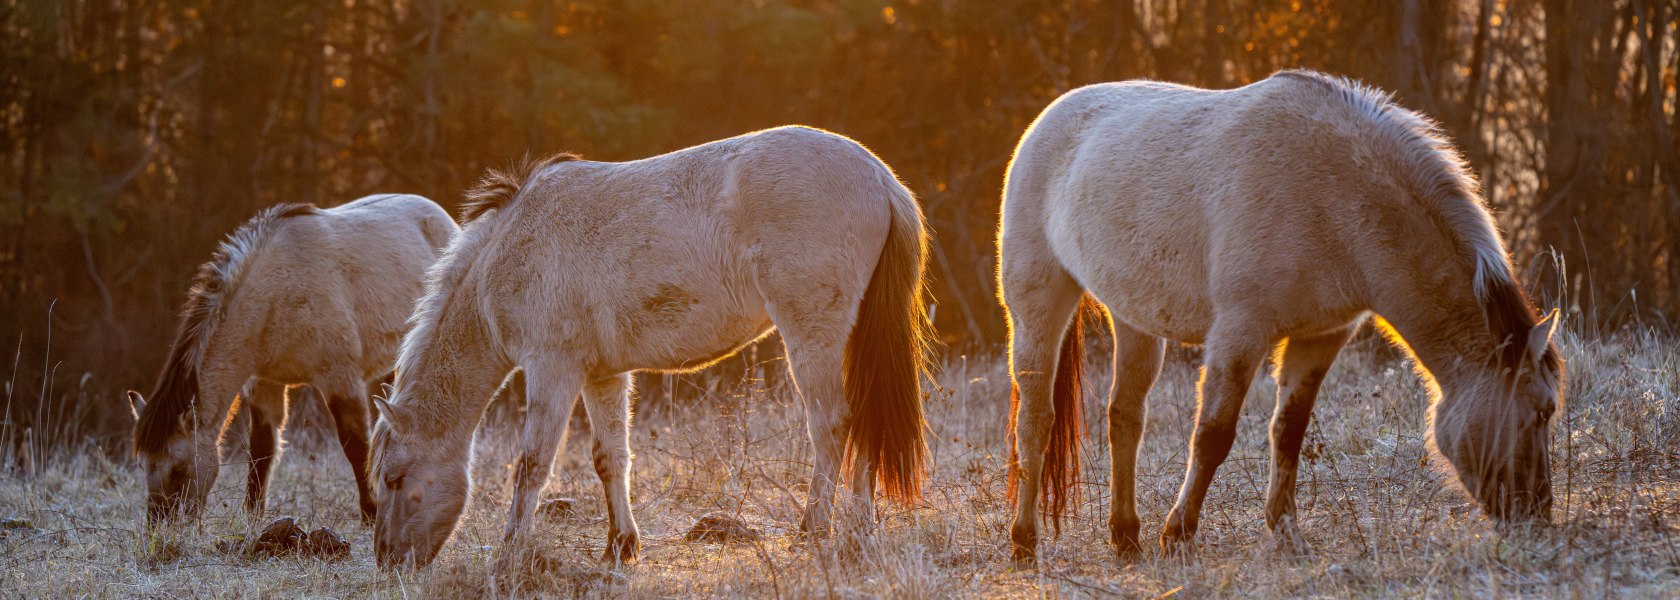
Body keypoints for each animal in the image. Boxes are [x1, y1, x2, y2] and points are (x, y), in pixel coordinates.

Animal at [129, 194, 460, 521]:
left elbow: (355, 445)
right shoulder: (264, 384)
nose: (161, 525)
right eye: (144, 466)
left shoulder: (338, 377)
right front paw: (253, 516)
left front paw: (370, 512)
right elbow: (262, 450)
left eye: (178, 469)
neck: (275, 292)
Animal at [369, 125, 940, 564]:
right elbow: (610, 458)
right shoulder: (602, 375)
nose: (388, 559)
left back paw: (814, 530)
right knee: (864, 425)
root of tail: (877, 174)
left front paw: (512, 550)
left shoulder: (552, 369)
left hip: (812, 337)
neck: (508, 252)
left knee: (833, 426)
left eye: (395, 480)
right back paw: (859, 531)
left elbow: (532, 463)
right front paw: (620, 546)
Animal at [994, 70, 1559, 561]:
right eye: (1541, 412)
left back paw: (1125, 538)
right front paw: (1178, 536)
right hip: (1038, 307)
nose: (1537, 518)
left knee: (1124, 419)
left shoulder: (1320, 337)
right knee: (1036, 420)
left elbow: (1289, 431)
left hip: (1134, 320)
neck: (1332, 191)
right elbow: (1213, 436)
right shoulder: (1239, 332)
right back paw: (1024, 543)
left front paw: (1287, 535)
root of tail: (1046, 122)